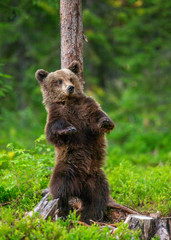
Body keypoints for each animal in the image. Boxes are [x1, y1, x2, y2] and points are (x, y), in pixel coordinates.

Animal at [35, 60, 114, 223]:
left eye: (71, 78)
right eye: (59, 81)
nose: (70, 88)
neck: (69, 101)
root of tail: (79, 188)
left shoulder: (86, 107)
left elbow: (97, 116)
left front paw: (106, 123)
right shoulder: (56, 112)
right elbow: (53, 129)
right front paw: (68, 129)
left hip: (96, 178)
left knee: (98, 198)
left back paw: (91, 218)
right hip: (66, 170)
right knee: (59, 192)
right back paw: (63, 212)